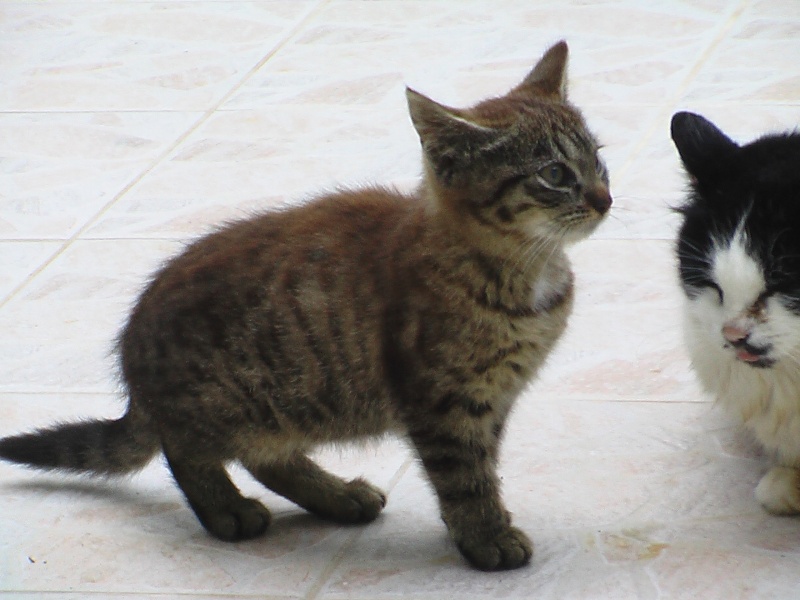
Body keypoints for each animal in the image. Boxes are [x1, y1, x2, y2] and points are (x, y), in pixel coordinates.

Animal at [1, 43, 612, 572]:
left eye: (598, 159)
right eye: (555, 174)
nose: (606, 199)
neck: (525, 271)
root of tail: (134, 369)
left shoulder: (492, 400)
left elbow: (486, 467)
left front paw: (485, 525)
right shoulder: (443, 401)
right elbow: (466, 476)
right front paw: (486, 536)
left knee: (266, 457)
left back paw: (336, 496)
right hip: (235, 399)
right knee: (187, 449)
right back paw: (227, 508)